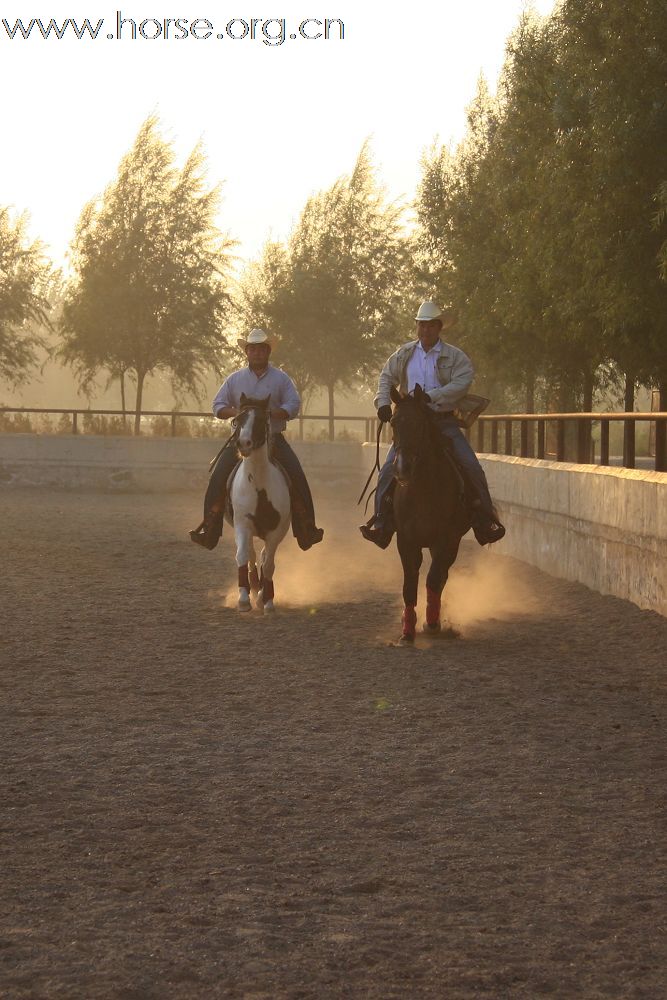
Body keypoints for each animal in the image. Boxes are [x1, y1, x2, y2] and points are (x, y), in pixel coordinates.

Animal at [228, 394, 290, 612]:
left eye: (262, 420)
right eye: (238, 419)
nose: (243, 443)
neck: (258, 488)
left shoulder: (276, 532)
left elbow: (269, 564)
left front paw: (268, 600)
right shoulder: (242, 524)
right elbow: (242, 556)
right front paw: (244, 598)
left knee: (263, 557)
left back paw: (262, 593)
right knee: (252, 556)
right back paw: (254, 590)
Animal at [386, 382, 470, 640]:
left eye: (419, 423)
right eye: (393, 422)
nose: (402, 468)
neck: (423, 490)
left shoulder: (446, 540)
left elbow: (433, 580)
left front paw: (431, 623)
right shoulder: (406, 541)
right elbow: (409, 583)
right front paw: (407, 630)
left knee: (440, 577)